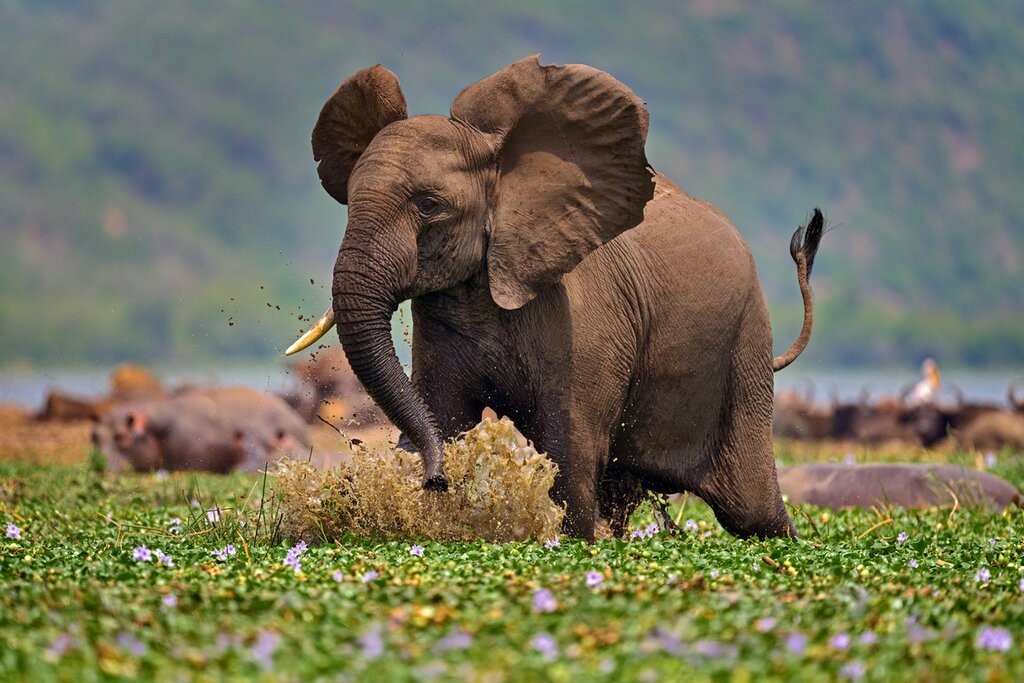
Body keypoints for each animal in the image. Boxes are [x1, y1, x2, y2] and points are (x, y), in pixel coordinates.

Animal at [286, 56, 825, 540]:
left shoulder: (585, 316)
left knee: (751, 510)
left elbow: (570, 449)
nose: (437, 481)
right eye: (350, 199)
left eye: (429, 206)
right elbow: (442, 413)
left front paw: (574, 539)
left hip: (744, 347)